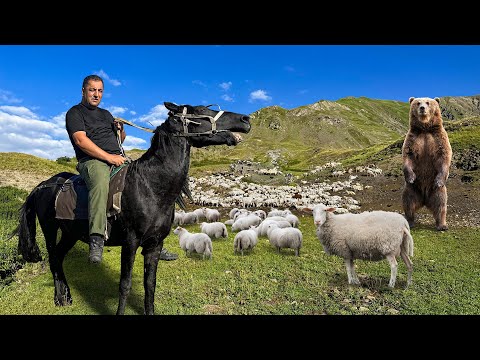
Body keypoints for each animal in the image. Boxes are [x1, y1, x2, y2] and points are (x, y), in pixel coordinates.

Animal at [11, 102, 251, 316]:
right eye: (201, 110)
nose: (245, 119)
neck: (150, 186)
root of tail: (43, 185)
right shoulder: (130, 242)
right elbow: (124, 285)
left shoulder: (154, 245)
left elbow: (150, 285)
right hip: (50, 229)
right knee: (53, 258)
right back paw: (60, 298)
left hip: (71, 233)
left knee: (59, 258)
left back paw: (67, 295)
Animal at [404, 95, 452, 231]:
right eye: (418, 102)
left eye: (428, 102)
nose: (422, 108)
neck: (425, 128)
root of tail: (424, 200)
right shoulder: (413, 138)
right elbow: (408, 155)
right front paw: (411, 177)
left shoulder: (438, 138)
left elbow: (444, 156)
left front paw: (439, 180)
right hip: (412, 189)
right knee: (408, 203)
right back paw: (410, 222)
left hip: (436, 191)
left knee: (441, 204)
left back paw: (442, 225)